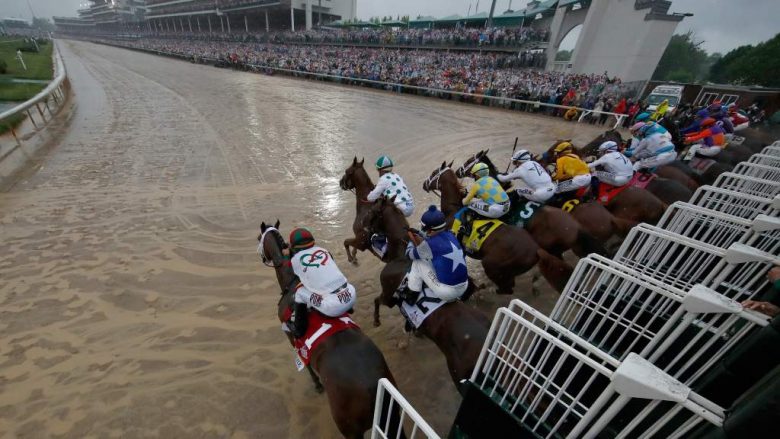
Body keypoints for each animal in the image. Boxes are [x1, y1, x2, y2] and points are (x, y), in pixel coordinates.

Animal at [258, 223, 400, 439]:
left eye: (259, 238)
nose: (262, 257)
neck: (292, 281)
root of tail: (373, 388)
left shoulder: (292, 338)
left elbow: (306, 363)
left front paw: (317, 384)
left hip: (350, 429)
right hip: (392, 419)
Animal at [362, 198, 490, 390]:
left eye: (372, 211)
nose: (363, 227)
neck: (400, 255)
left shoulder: (389, 295)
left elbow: (376, 300)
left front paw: (376, 321)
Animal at [420, 162, 572, 292]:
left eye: (434, 173)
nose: (424, 184)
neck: (452, 210)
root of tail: (536, 250)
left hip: (492, 265)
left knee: (506, 289)